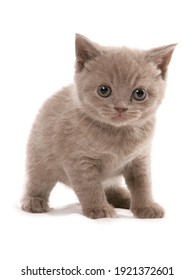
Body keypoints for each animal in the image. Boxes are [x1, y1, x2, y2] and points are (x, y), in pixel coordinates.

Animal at [20, 34, 176, 219]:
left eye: (139, 93)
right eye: (104, 90)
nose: (121, 108)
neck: (118, 134)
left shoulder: (140, 158)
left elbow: (143, 184)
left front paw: (147, 207)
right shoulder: (79, 161)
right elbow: (90, 186)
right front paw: (99, 209)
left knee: (110, 187)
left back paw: (124, 198)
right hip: (39, 159)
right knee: (37, 182)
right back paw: (34, 201)